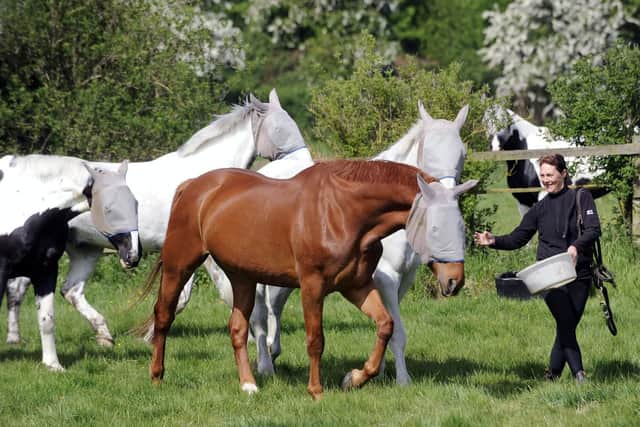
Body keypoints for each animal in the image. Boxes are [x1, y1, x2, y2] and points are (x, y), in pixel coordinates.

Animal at [0, 155, 139, 370]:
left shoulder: (46, 271)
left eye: (135, 204)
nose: (132, 255)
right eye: (108, 208)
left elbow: (47, 320)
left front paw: (53, 365)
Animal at [5, 88, 306, 347]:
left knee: (67, 290)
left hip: (84, 249)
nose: (303, 162)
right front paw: (258, 339)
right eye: (279, 128)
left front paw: (149, 335)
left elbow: (182, 298)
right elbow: (225, 293)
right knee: (21, 288)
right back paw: (16, 338)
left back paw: (100, 335)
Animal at [142, 103, 469, 385]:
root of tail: (193, 185)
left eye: (462, 152)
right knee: (169, 314)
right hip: (180, 266)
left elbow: (387, 326)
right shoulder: (331, 284)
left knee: (246, 323)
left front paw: (359, 377)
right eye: (435, 227)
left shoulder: (358, 284)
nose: (455, 281)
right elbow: (319, 339)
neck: (345, 212)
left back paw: (252, 379)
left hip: (244, 275)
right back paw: (162, 374)